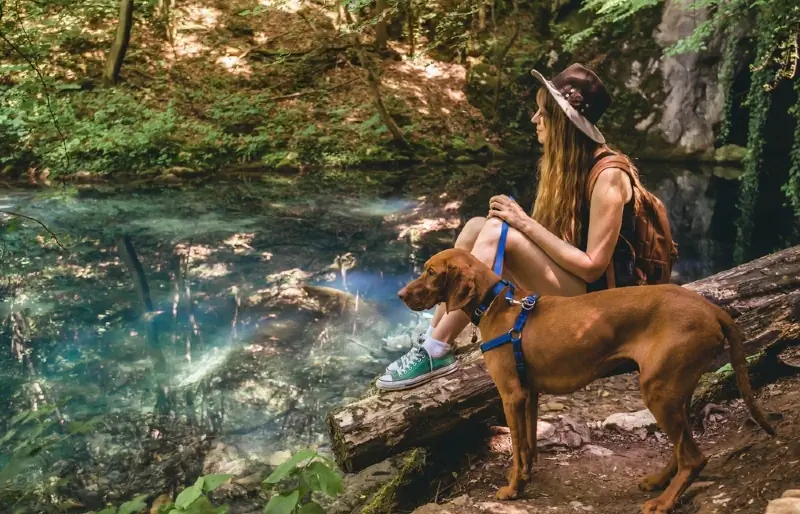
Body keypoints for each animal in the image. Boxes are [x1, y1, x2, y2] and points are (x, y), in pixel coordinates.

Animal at [398, 248, 776, 512]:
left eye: (431, 272)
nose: (401, 295)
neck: (497, 304)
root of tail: (711, 308)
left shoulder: (511, 394)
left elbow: (516, 448)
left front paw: (511, 490)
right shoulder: (529, 393)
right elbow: (528, 445)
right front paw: (523, 479)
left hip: (657, 390)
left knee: (694, 457)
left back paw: (664, 502)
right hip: (674, 387)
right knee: (684, 446)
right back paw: (658, 481)